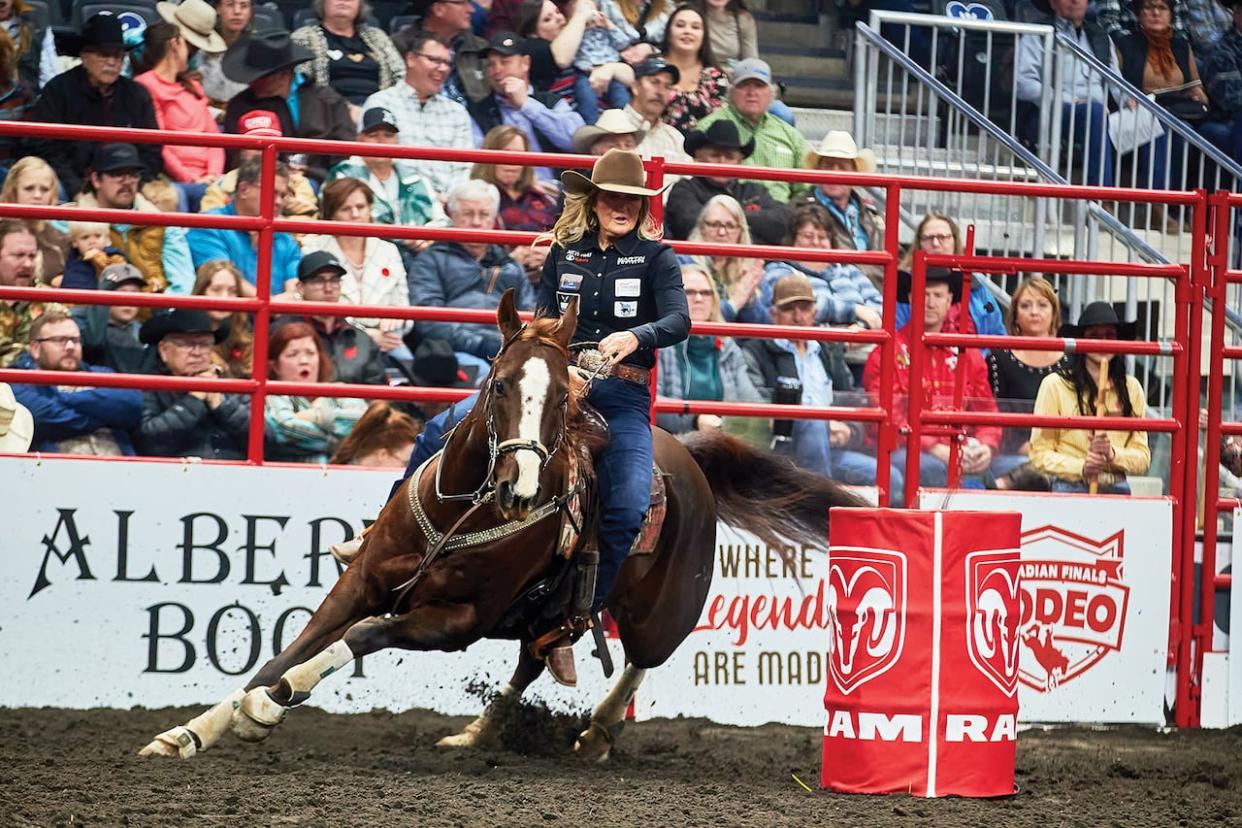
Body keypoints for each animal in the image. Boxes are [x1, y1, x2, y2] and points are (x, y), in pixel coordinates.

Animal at [138, 291, 864, 764]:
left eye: (558, 399)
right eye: (498, 386)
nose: (520, 488)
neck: (463, 508)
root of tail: (689, 455)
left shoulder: (458, 620)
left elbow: (357, 639)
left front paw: (270, 707)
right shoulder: (363, 580)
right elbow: (290, 647)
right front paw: (195, 731)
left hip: (663, 610)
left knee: (638, 661)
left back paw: (596, 733)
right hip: (543, 611)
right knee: (532, 662)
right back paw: (478, 733)